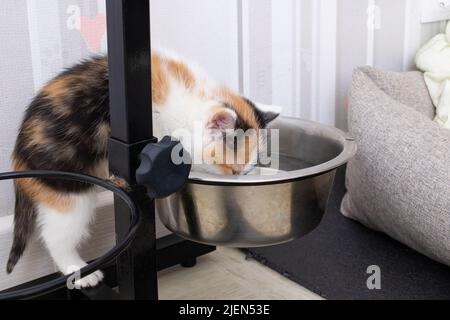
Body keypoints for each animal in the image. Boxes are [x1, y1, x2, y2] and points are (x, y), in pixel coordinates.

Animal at [7, 49, 280, 288]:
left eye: (245, 172)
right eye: (232, 170)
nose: (239, 178)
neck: (189, 104)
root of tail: (18, 156)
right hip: (69, 188)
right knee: (55, 234)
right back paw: (79, 271)